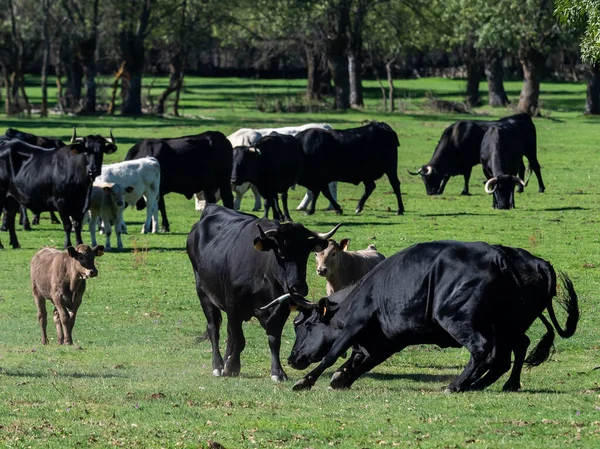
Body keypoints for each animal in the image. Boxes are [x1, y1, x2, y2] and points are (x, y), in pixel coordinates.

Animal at [185, 205, 340, 380]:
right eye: (281, 253)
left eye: (306, 253)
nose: (298, 287)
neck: (264, 276)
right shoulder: (233, 304)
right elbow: (239, 340)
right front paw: (232, 367)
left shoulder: (282, 308)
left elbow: (273, 339)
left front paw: (277, 372)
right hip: (204, 294)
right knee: (214, 328)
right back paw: (218, 365)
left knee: (229, 333)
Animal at [197, 123, 338, 213]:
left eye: (200, 194)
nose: (199, 210)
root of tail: (325, 127)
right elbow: (256, 190)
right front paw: (257, 205)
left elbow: (240, 192)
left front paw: (237, 206)